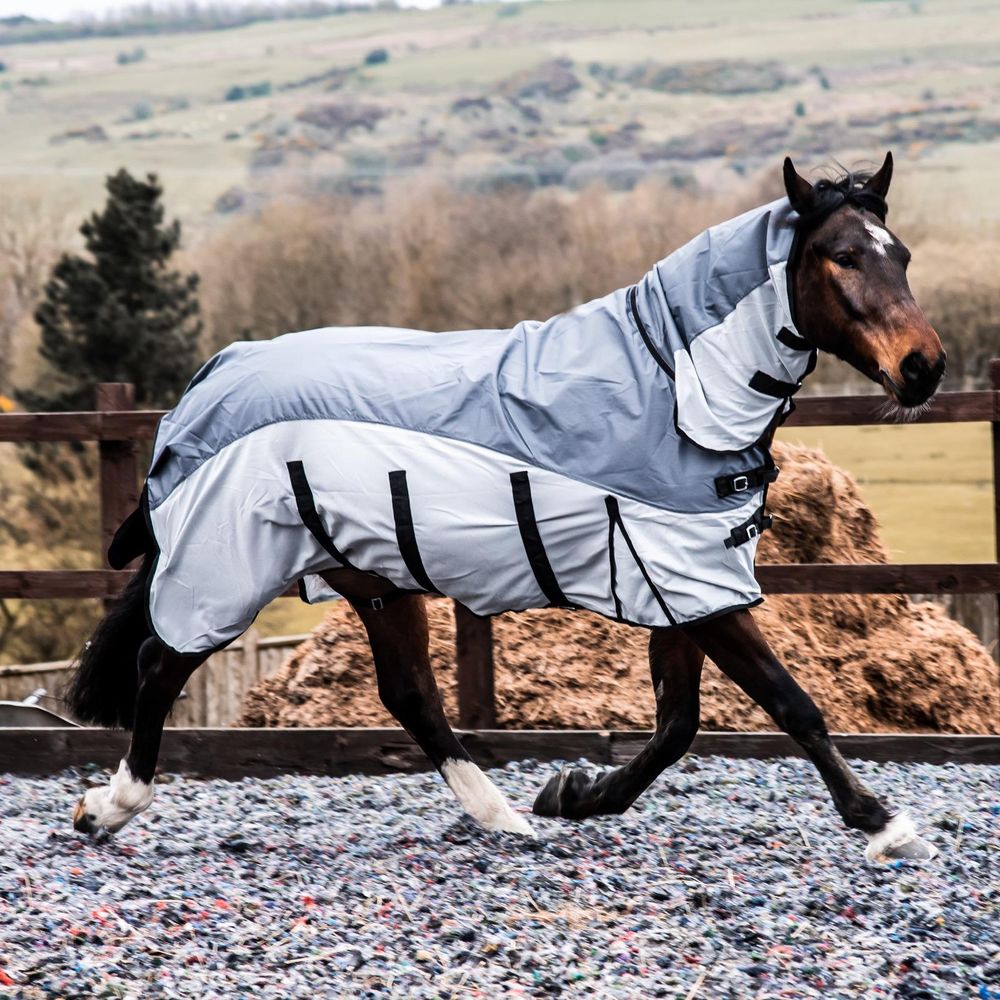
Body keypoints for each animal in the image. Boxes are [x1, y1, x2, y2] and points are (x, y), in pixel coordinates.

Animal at [68, 152, 944, 864]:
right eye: (842, 256)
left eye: (901, 254)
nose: (924, 367)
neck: (674, 385)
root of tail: (204, 388)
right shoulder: (698, 589)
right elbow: (790, 704)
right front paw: (882, 822)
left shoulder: (689, 585)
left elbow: (677, 724)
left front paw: (573, 796)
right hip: (231, 570)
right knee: (159, 665)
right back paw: (107, 808)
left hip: (372, 579)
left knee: (411, 695)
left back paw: (502, 818)